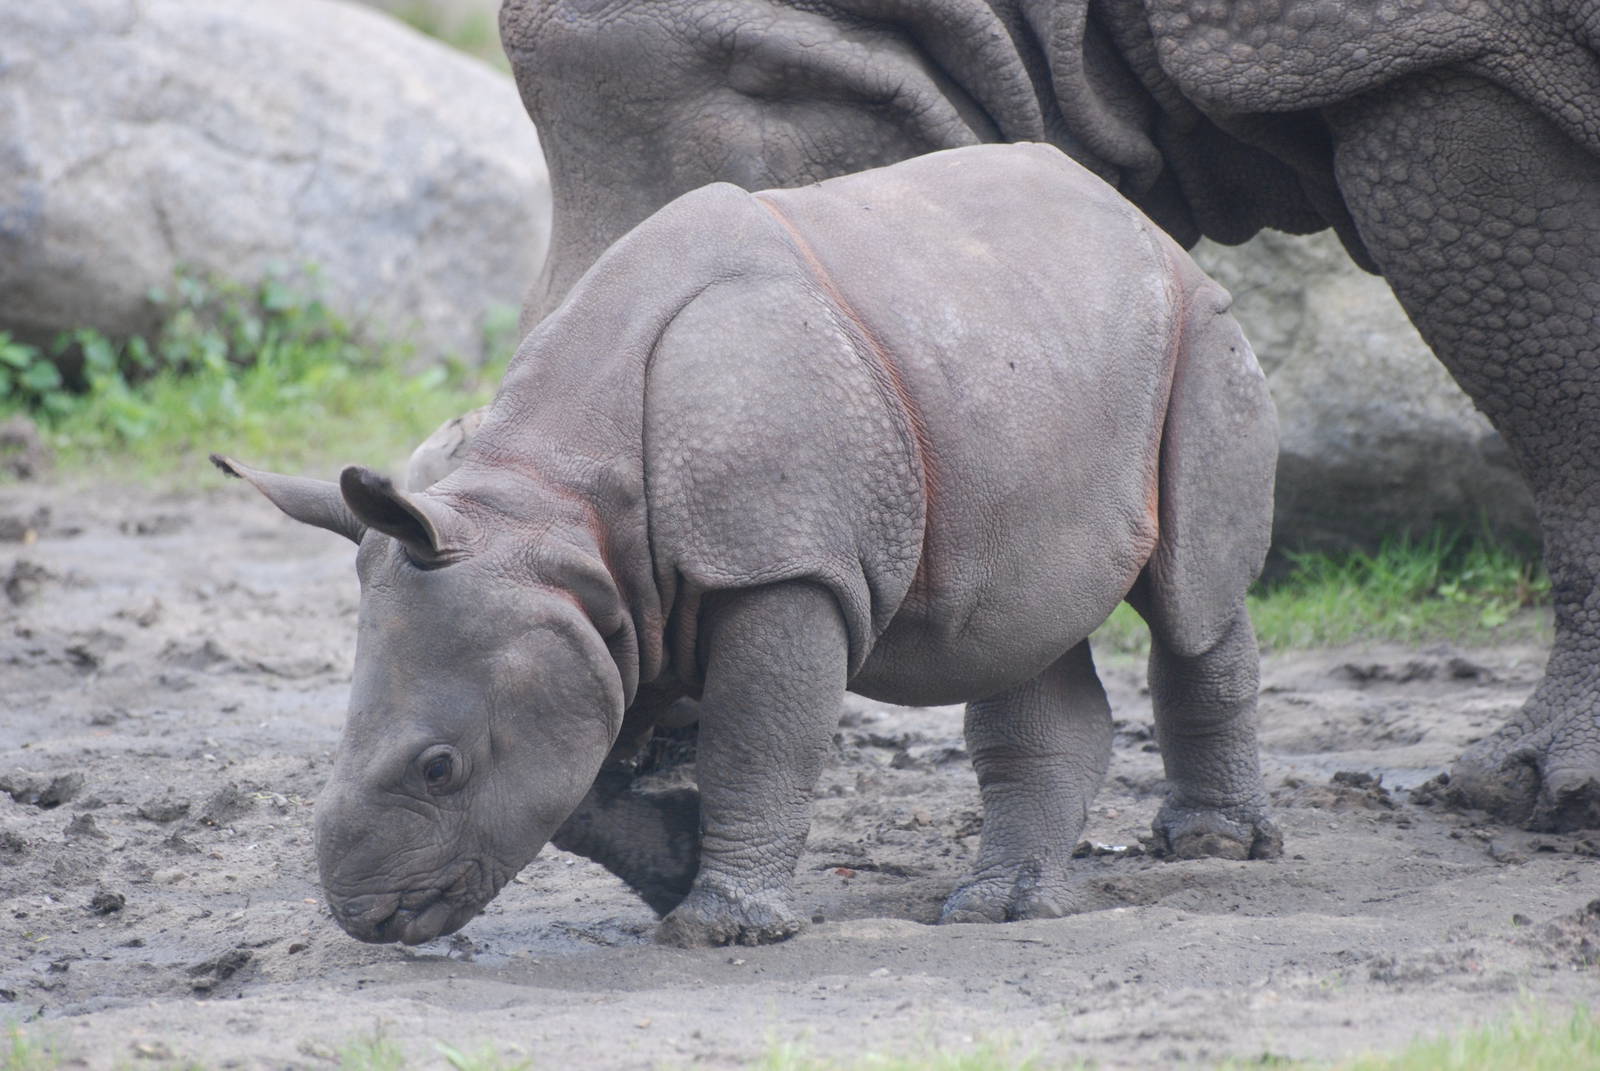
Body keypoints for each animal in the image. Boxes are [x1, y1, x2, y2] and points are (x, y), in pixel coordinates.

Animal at [217, 144, 1279, 947]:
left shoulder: (782, 566)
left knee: (1191, 604)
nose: (365, 918)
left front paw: (716, 925)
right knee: (1019, 630)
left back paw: (1212, 847)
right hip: (1018, 348)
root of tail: (1132, 214)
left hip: (1195, 325)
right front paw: (679, 865)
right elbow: (585, 779)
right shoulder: (602, 608)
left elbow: (756, 738)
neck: (549, 505)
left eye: (439, 768)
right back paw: (1004, 908)